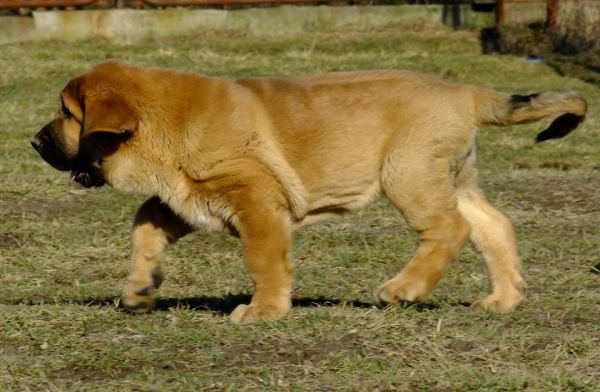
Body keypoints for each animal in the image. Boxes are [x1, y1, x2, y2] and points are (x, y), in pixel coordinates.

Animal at [31, 61, 584, 324]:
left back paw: (403, 290)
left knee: (450, 229)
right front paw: (142, 287)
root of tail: (467, 93)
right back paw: (502, 299)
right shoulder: (192, 199)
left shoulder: (256, 203)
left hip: (407, 175)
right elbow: (145, 221)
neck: (167, 126)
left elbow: (264, 262)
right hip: (452, 178)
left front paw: (264, 311)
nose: (33, 142)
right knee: (493, 226)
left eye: (68, 114)